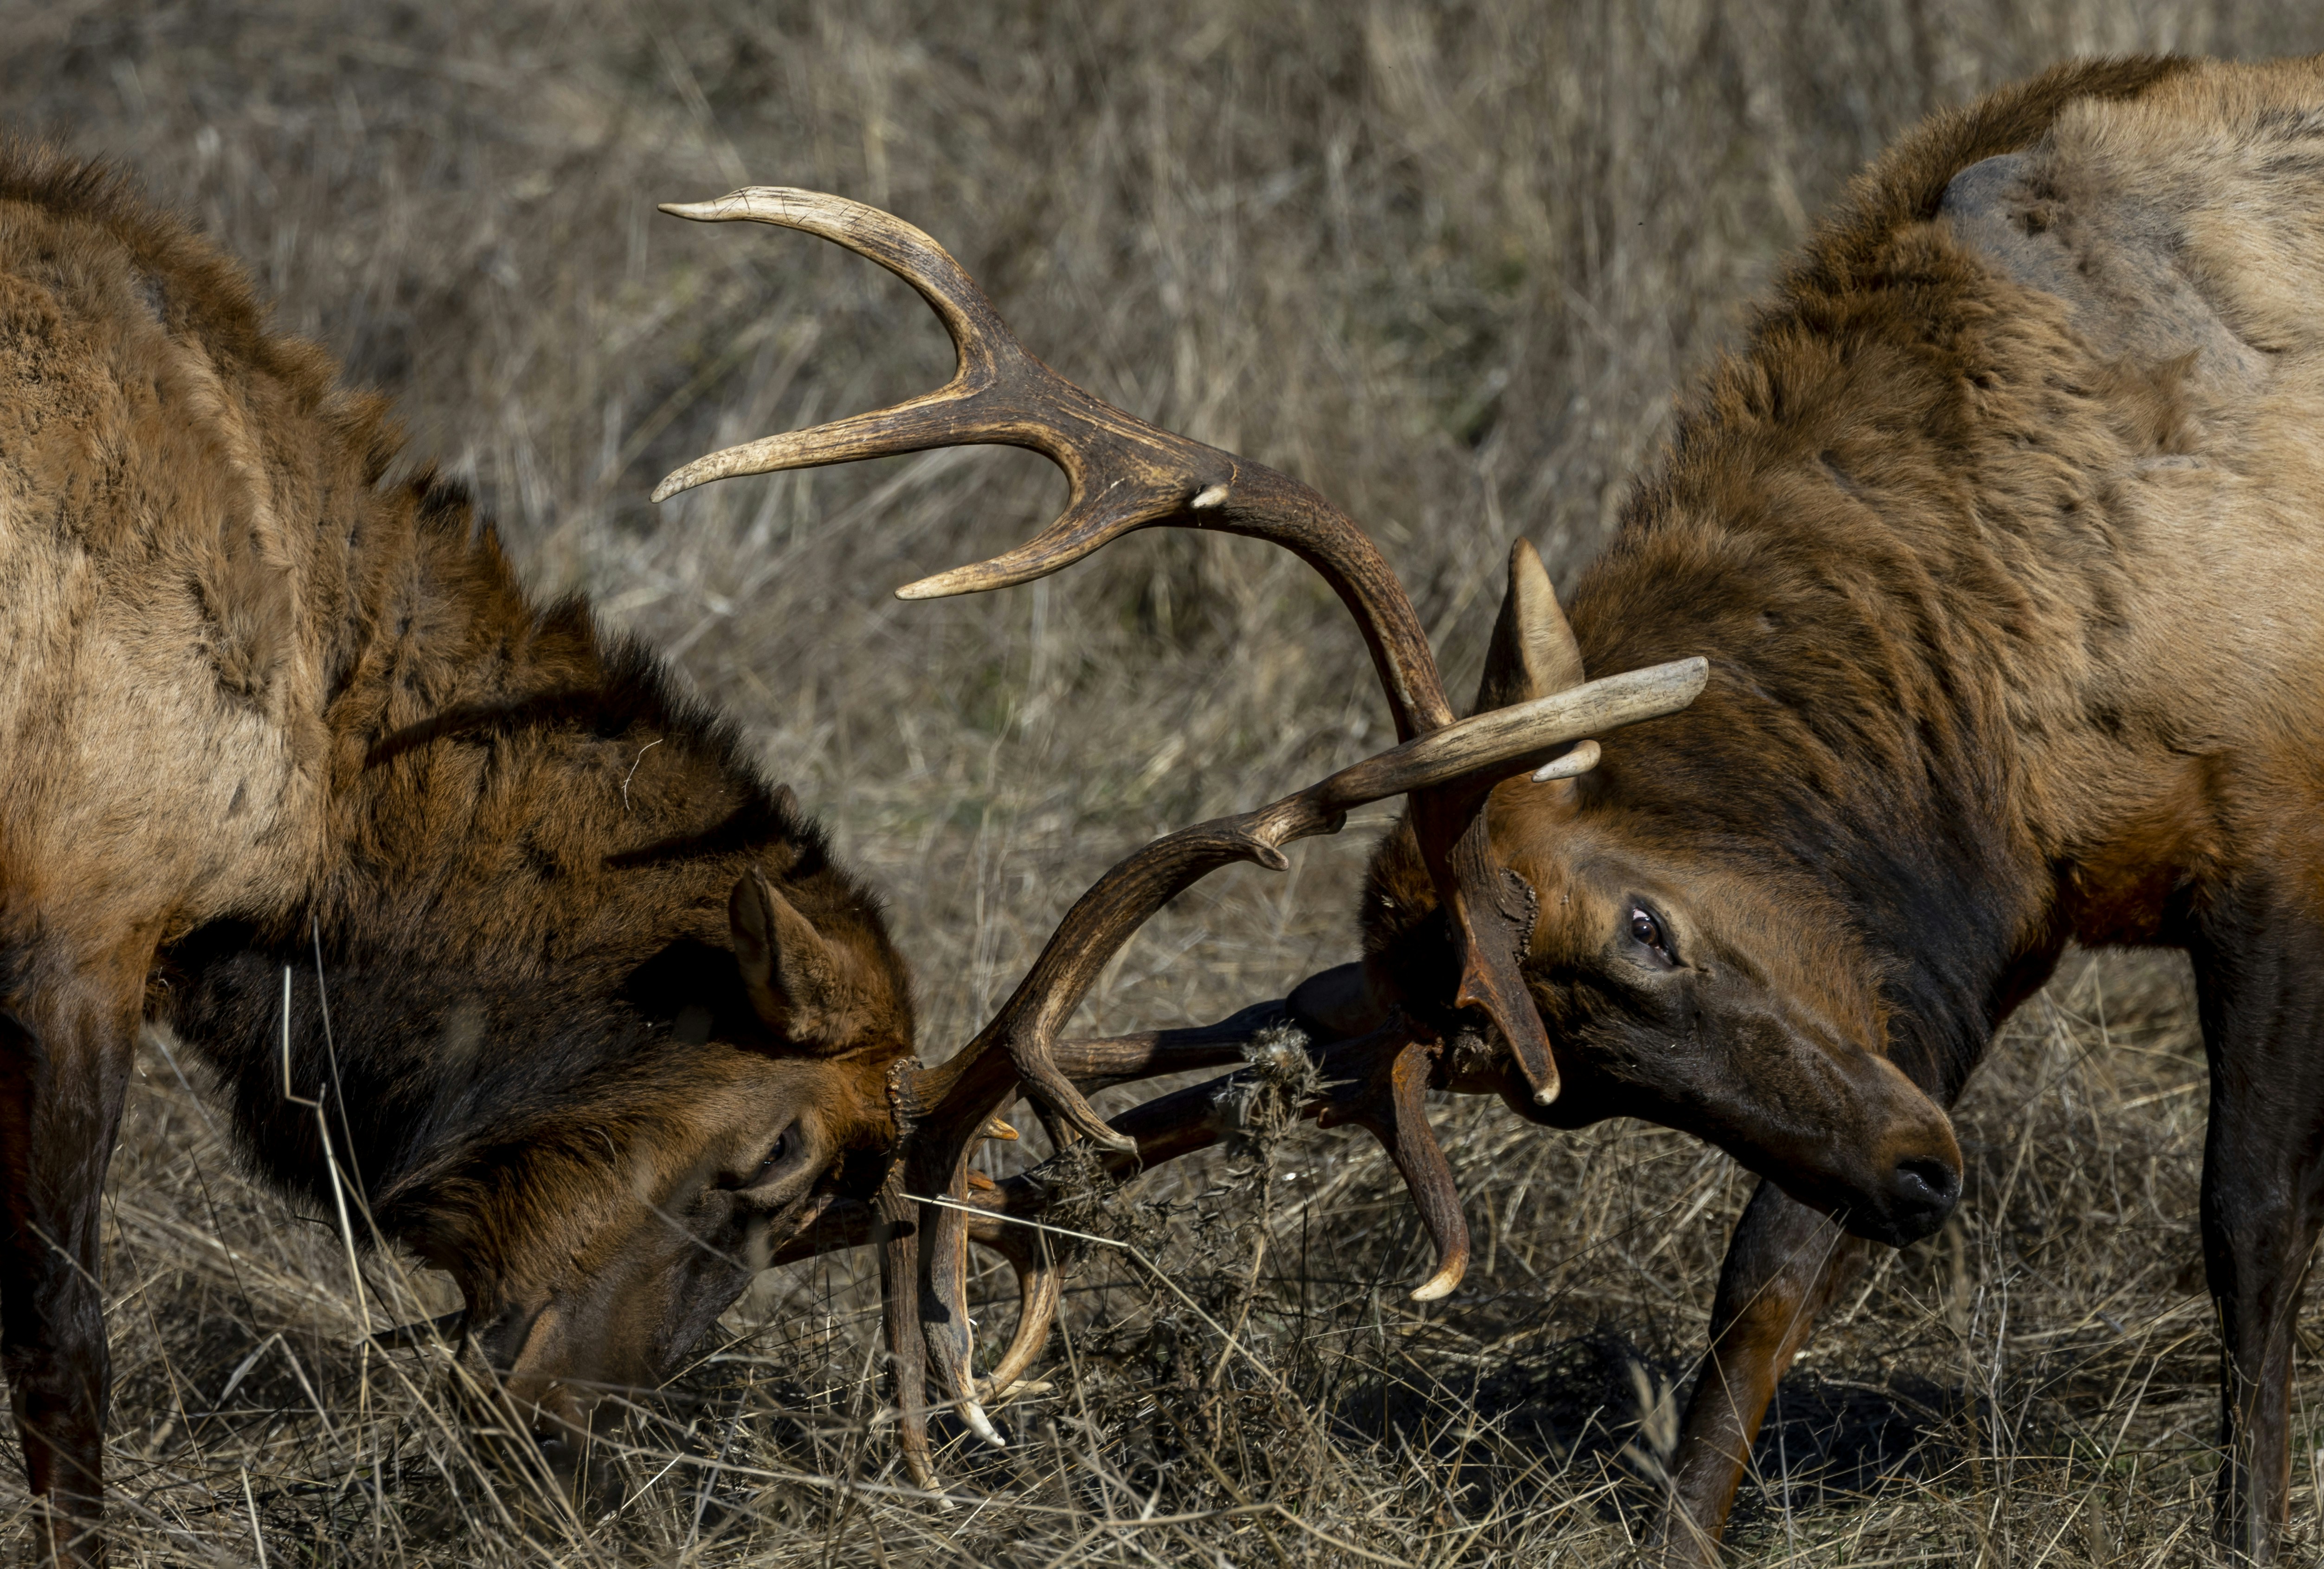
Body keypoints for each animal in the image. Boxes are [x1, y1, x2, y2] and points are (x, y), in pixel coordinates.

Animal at [633, 49, 2324, 1568]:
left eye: (1646, 919)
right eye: (1562, 1087)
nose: (1920, 1173)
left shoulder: (2269, 828)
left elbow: (2245, 1218)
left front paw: (2245, 1527)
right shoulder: (1973, 941)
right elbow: (1768, 1268)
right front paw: (1678, 1532)